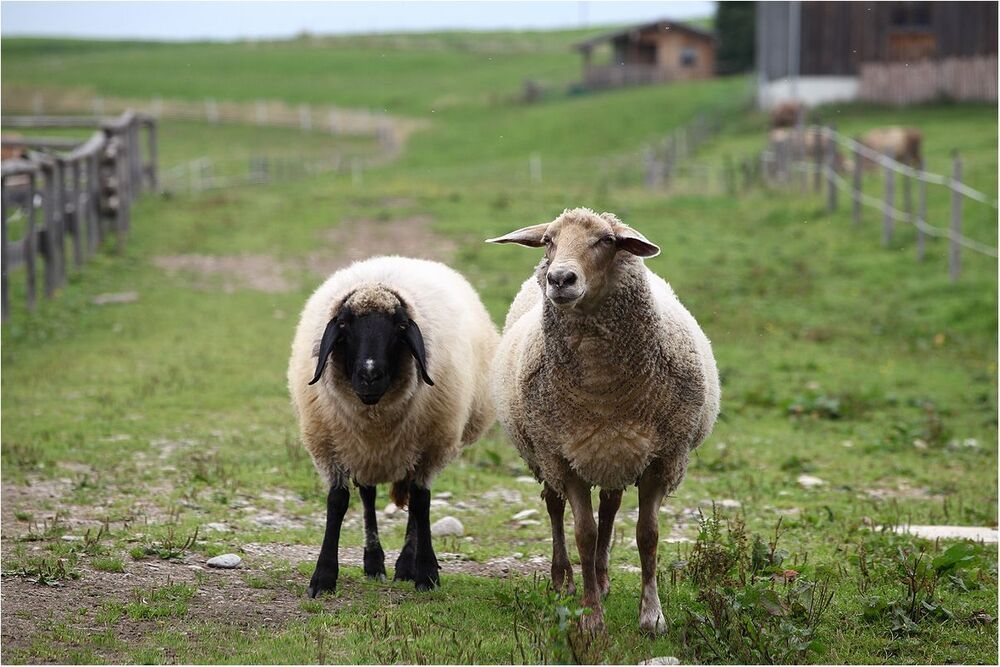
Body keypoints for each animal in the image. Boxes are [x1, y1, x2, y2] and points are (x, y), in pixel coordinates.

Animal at [288, 256, 499, 596]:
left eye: (400, 327)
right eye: (344, 324)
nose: (370, 375)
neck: (374, 413)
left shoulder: (432, 444)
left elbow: (421, 502)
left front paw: (426, 572)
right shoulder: (329, 445)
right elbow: (337, 502)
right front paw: (323, 576)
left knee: (413, 497)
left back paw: (404, 566)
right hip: (364, 451)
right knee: (368, 495)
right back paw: (374, 563)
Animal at [487, 208, 720, 635]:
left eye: (606, 241)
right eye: (548, 240)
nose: (559, 279)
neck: (603, 392)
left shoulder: (662, 458)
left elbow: (647, 535)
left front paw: (652, 615)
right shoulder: (564, 458)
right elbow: (584, 532)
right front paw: (590, 616)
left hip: (614, 454)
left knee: (610, 506)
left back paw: (603, 573)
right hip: (544, 456)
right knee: (554, 507)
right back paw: (563, 580)